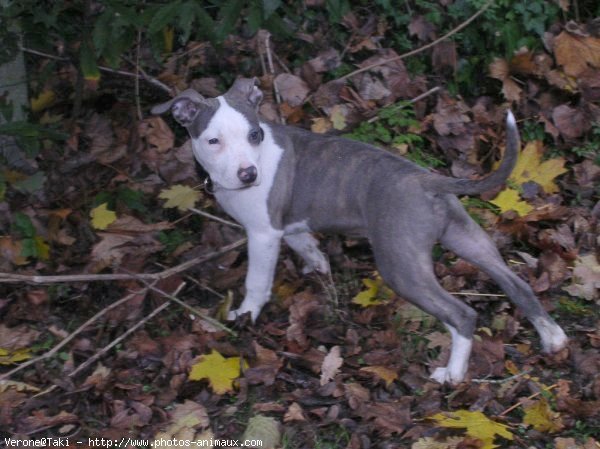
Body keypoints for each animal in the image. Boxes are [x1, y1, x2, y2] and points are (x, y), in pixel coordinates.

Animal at [154, 78, 568, 384]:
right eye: (213, 140)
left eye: (254, 135)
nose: (248, 174)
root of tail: (428, 180)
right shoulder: (286, 226)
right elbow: (305, 243)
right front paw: (319, 267)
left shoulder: (262, 234)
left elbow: (257, 281)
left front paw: (245, 315)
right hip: (468, 238)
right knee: (517, 283)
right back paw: (552, 337)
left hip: (401, 265)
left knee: (462, 314)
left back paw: (452, 374)